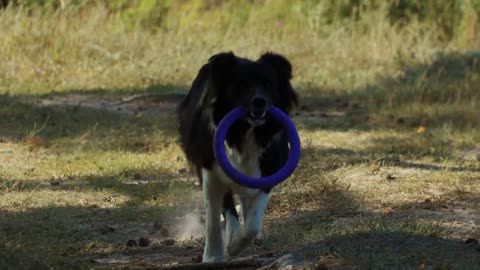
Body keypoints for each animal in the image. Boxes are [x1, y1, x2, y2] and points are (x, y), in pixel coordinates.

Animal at [176, 50, 296, 262]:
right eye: (242, 84)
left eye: (268, 83)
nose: (259, 101)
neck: (246, 132)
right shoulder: (211, 170)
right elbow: (215, 218)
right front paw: (215, 254)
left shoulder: (268, 172)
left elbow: (253, 223)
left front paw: (239, 242)